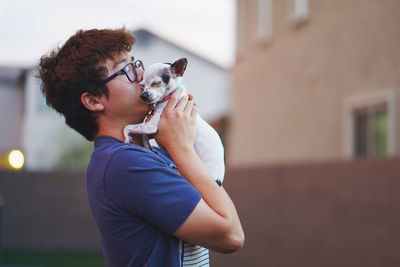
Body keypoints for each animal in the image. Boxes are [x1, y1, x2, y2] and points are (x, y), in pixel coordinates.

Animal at [123, 57, 225, 185]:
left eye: (156, 83)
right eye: (142, 85)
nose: (143, 96)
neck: (169, 96)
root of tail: (219, 180)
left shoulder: (151, 126)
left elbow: (127, 127)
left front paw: (127, 138)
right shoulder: (154, 131)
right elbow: (143, 135)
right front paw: (147, 147)